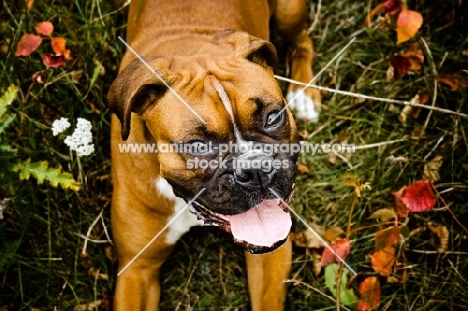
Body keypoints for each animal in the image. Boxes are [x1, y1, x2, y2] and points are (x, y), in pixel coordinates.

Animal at [107, 1, 320, 310]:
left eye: (272, 118)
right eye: (197, 145)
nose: (255, 169)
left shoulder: (271, 253)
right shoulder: (137, 269)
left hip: (288, 13)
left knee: (303, 42)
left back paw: (305, 94)